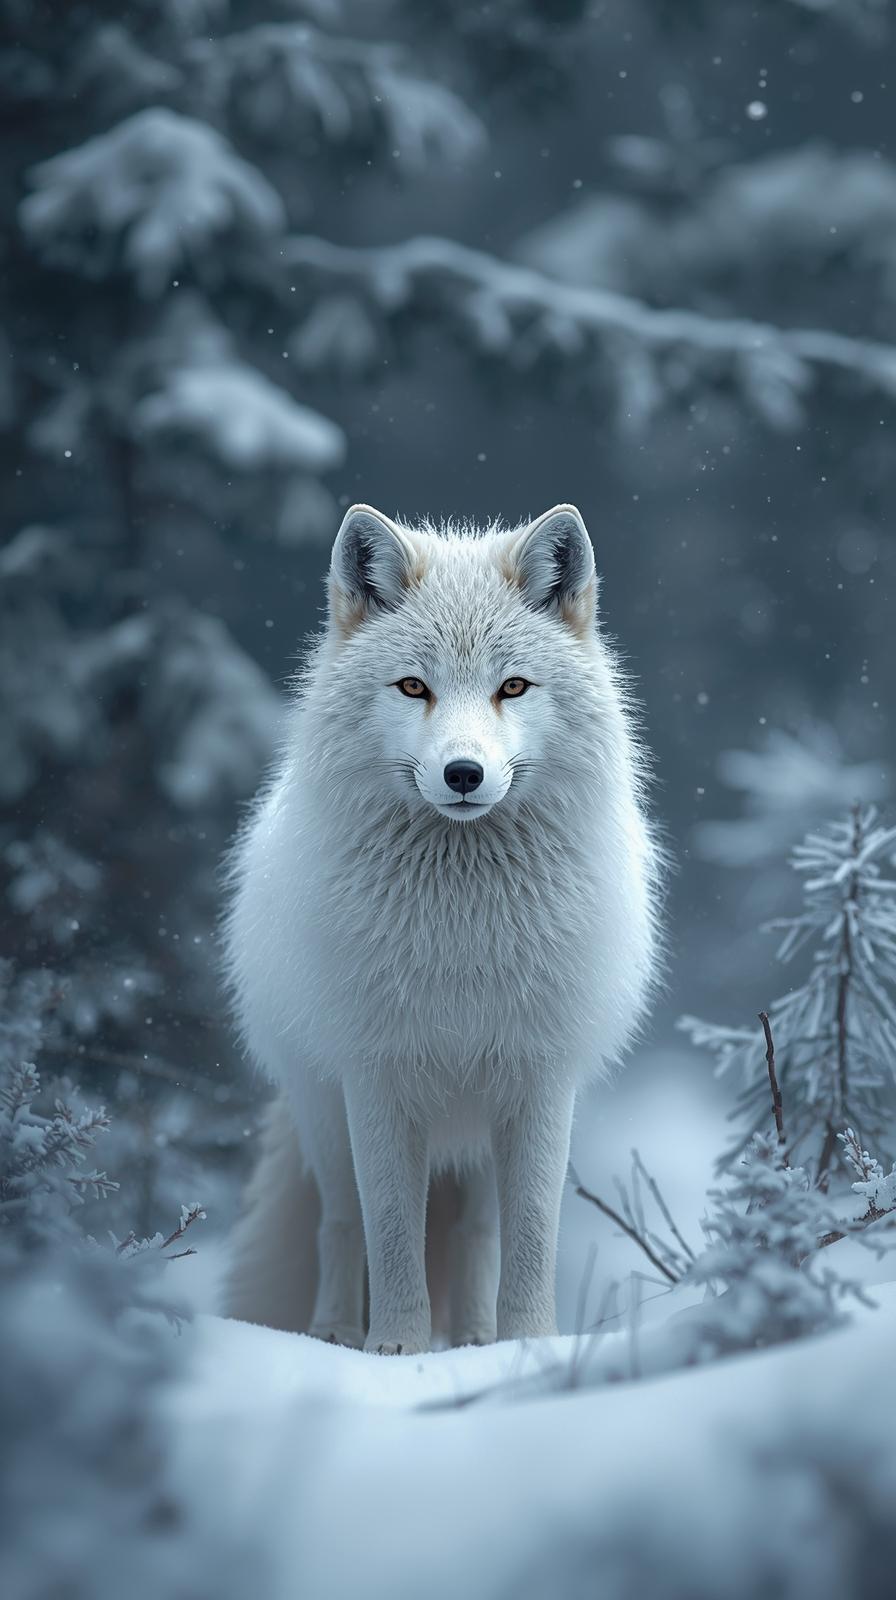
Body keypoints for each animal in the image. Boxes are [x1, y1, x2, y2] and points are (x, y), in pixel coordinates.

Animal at [222, 503, 662, 1354]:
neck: (464, 931)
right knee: (339, 1225)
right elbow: (391, 1232)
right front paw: (397, 1346)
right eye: (413, 687)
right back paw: (335, 1332)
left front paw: (529, 1341)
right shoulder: (378, 1078)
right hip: (326, 1120)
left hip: (477, 1148)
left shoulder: (537, 1080)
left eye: (512, 687)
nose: (464, 774)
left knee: (475, 1235)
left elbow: (531, 1236)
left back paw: (478, 1339)